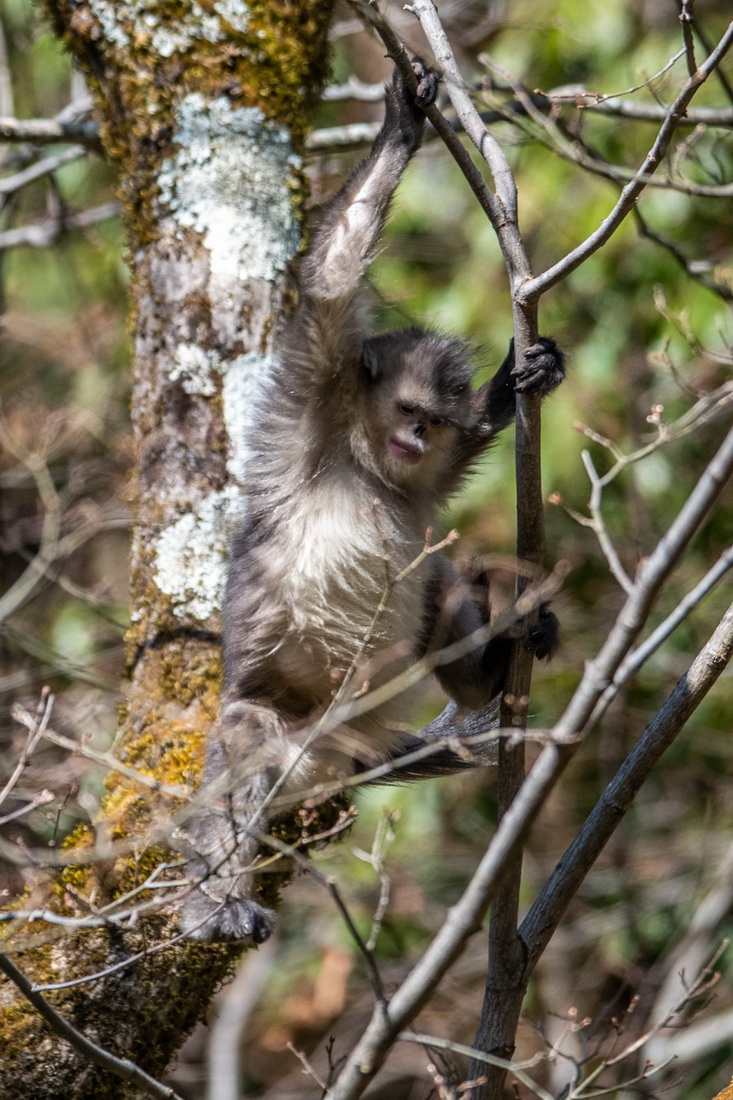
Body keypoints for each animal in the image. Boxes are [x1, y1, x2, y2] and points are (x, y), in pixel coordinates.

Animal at [179, 60, 564, 945]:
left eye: (433, 422)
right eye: (409, 413)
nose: (416, 440)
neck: (364, 465)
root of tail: (341, 746)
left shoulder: (416, 476)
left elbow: (447, 486)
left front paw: (515, 383)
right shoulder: (311, 397)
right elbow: (328, 280)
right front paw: (400, 131)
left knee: (443, 577)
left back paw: (494, 665)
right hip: (285, 735)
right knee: (246, 734)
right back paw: (216, 899)